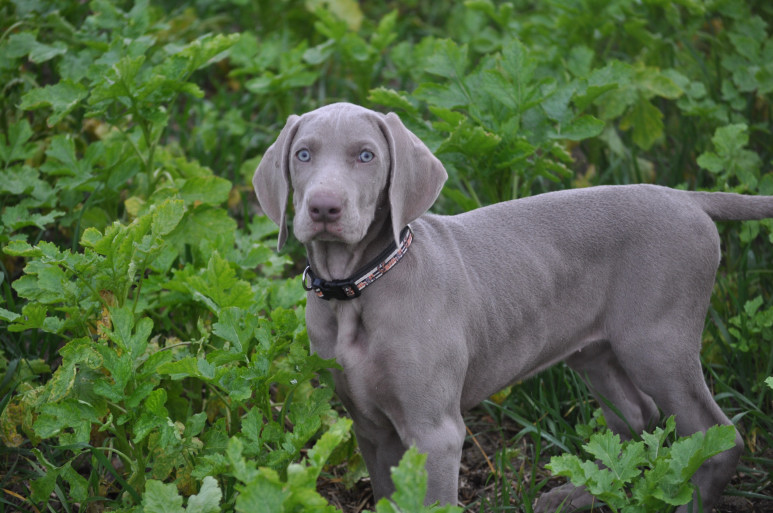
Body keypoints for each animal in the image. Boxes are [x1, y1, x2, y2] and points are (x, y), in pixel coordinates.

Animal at [253, 102, 772, 510]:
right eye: (302, 154)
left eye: (367, 155)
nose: (323, 208)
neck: (361, 286)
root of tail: (685, 196)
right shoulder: (370, 428)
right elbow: (388, 497)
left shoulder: (435, 432)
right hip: (595, 351)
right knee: (633, 417)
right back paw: (577, 496)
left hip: (655, 343)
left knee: (719, 436)